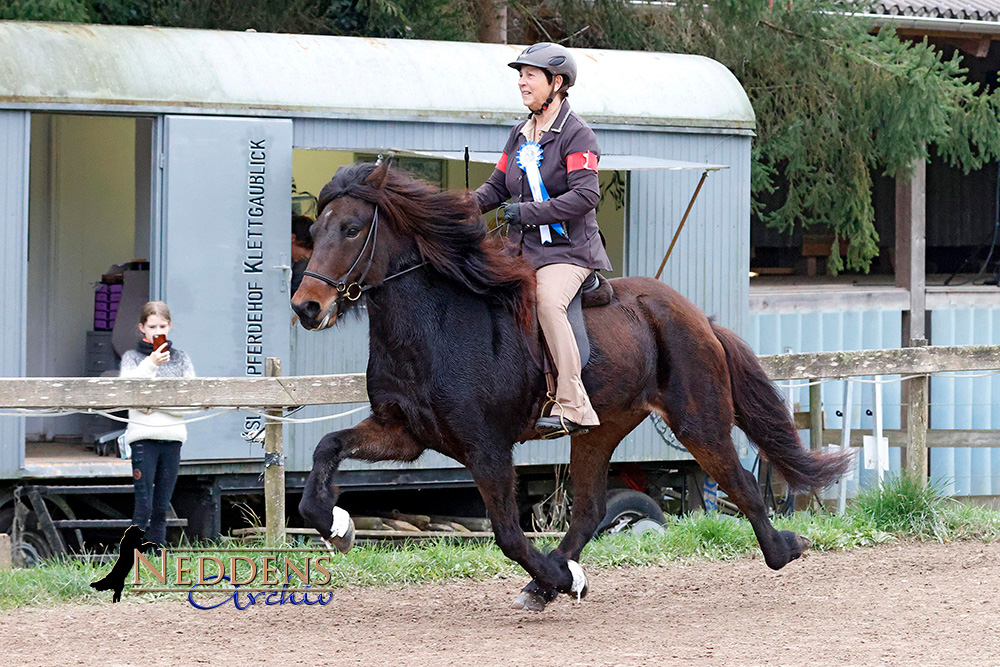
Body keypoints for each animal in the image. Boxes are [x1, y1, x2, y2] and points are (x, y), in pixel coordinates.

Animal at [290, 160, 852, 612]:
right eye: (315, 229)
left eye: (352, 228)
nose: (307, 307)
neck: (435, 324)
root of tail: (697, 316)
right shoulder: (403, 433)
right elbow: (325, 450)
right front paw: (336, 523)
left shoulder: (486, 448)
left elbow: (508, 534)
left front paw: (561, 579)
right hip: (599, 430)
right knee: (589, 512)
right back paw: (551, 579)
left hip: (699, 420)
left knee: (739, 483)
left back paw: (784, 548)